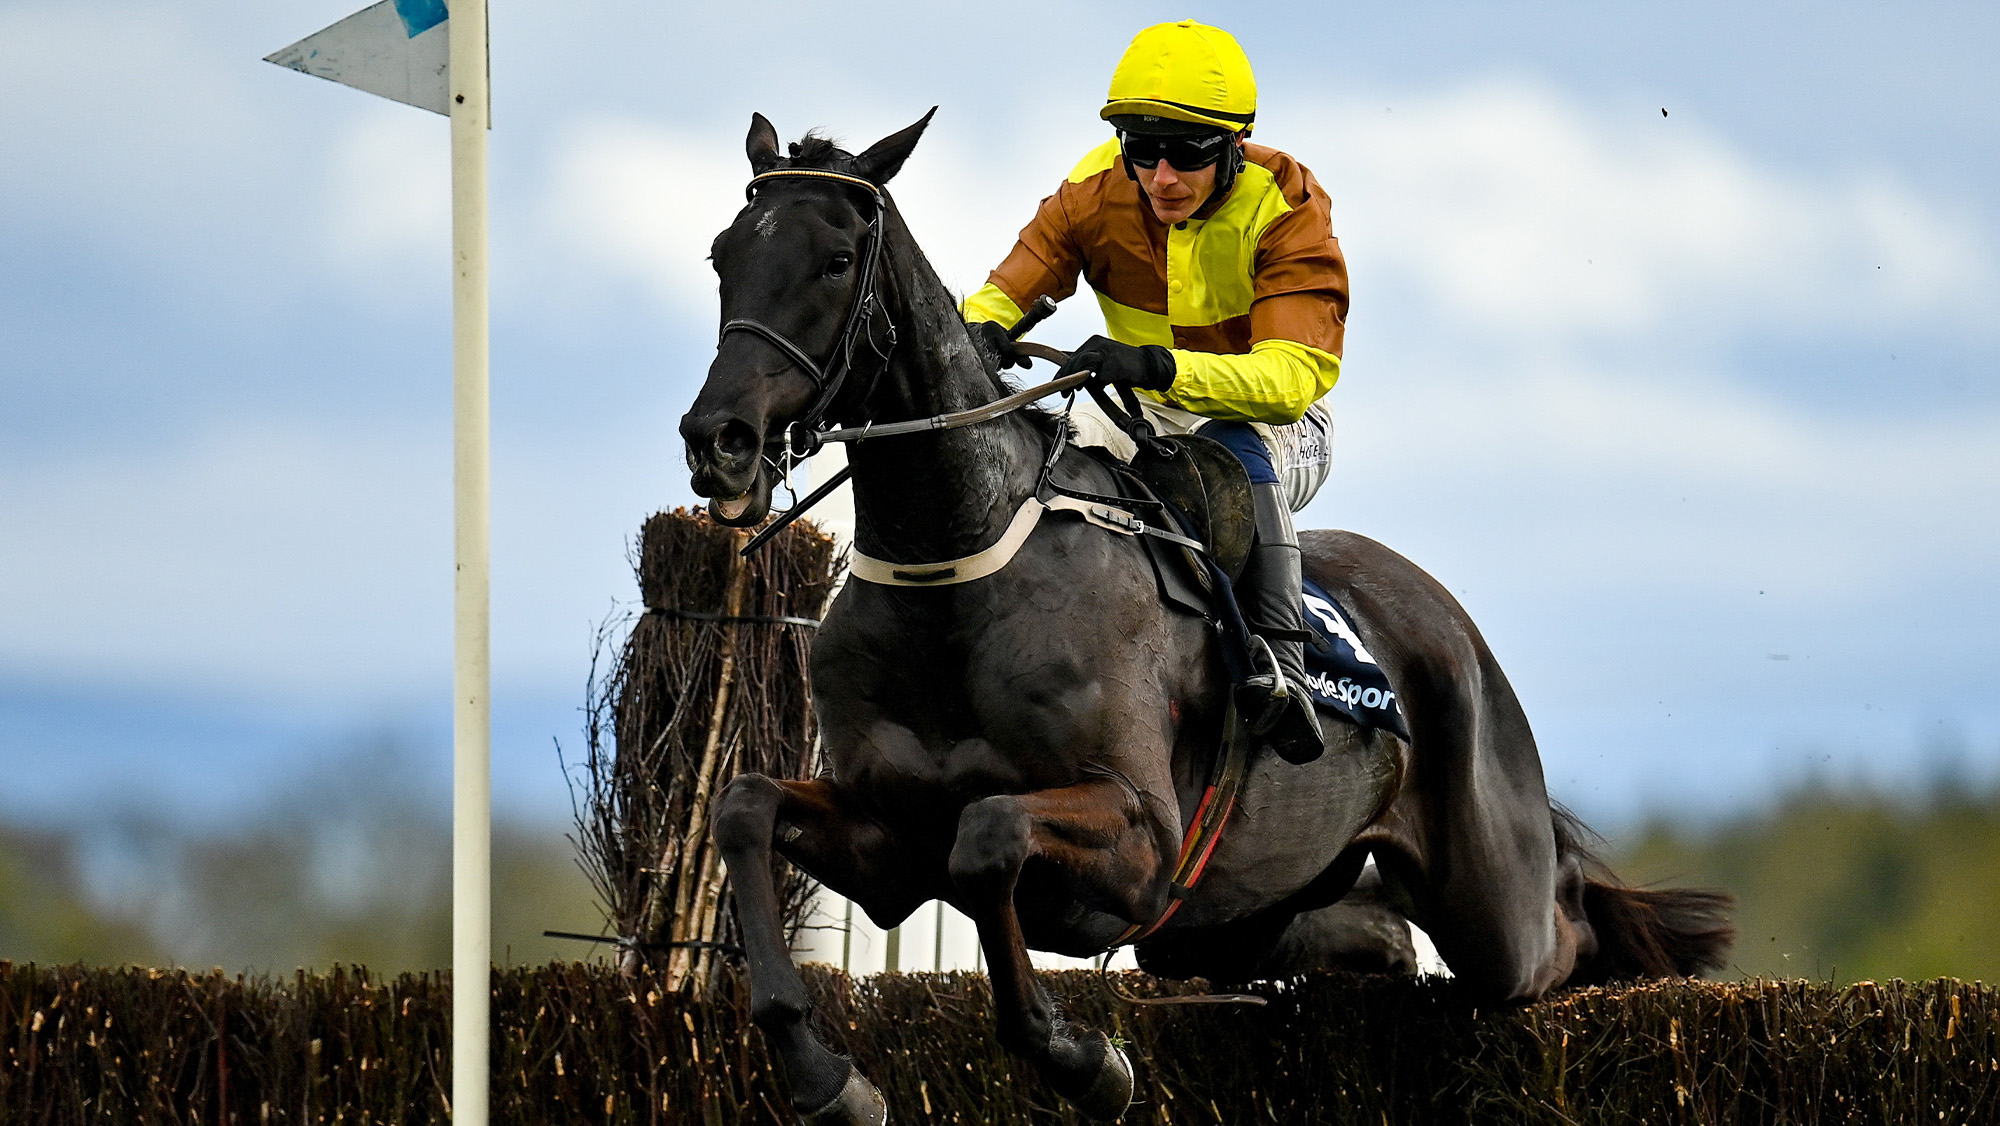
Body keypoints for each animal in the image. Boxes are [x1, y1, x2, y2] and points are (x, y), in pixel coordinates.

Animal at [679, 110, 1733, 1124]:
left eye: (835, 259)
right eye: (724, 254)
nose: (718, 440)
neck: (955, 576)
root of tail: (1453, 626)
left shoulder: (1144, 841)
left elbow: (987, 838)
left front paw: (1083, 1060)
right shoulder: (893, 847)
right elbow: (745, 807)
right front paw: (825, 1075)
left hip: (1491, 904)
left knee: (1564, 927)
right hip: (1234, 917)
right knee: (1364, 932)